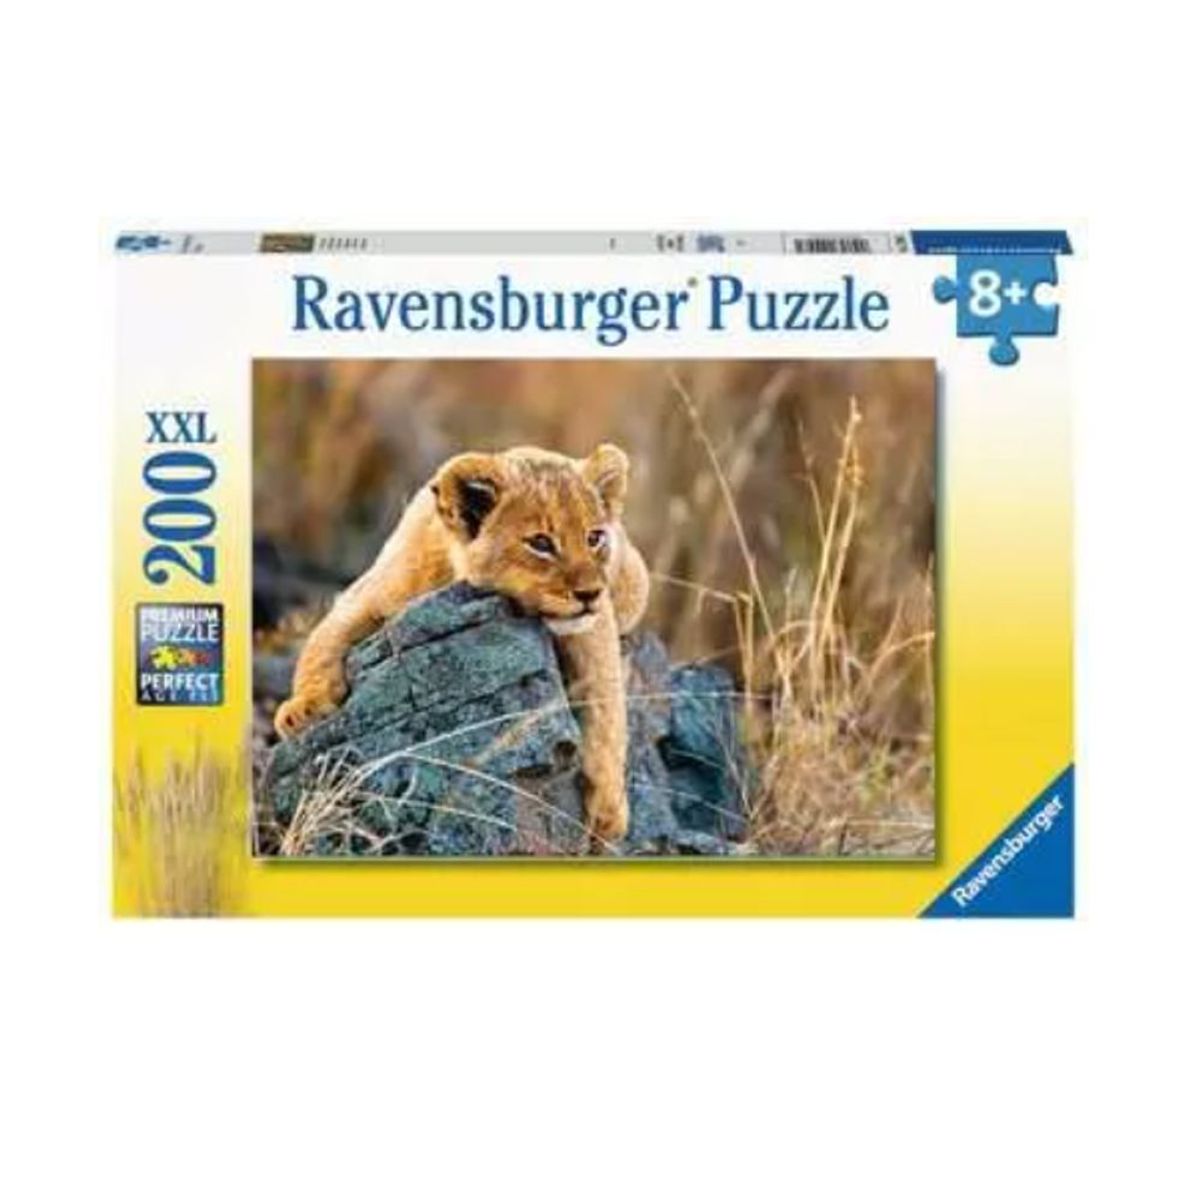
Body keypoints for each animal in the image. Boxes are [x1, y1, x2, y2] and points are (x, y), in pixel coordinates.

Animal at [274, 443, 650, 845]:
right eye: (541, 543)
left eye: (594, 538)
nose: (590, 594)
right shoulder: (369, 594)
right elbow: (321, 643)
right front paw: (302, 711)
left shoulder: (593, 630)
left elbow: (607, 708)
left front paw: (609, 810)